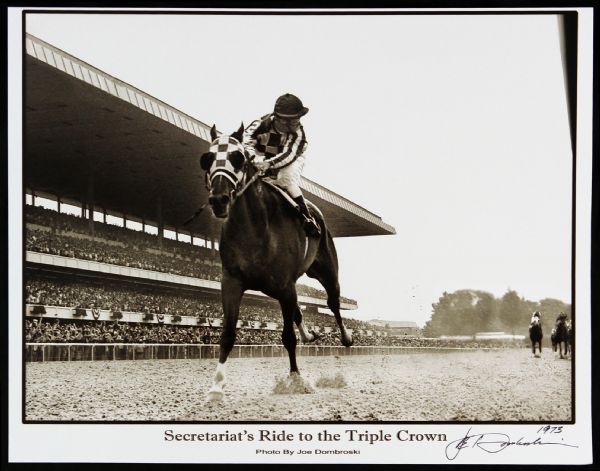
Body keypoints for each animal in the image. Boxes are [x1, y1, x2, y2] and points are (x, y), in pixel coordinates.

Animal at [199, 123, 354, 400]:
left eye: (237, 158)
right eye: (208, 158)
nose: (219, 199)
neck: (254, 228)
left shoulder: (284, 284)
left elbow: (288, 337)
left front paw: (295, 379)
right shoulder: (232, 281)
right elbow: (227, 334)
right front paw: (216, 387)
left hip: (326, 271)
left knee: (333, 302)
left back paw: (346, 338)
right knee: (299, 310)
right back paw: (310, 335)